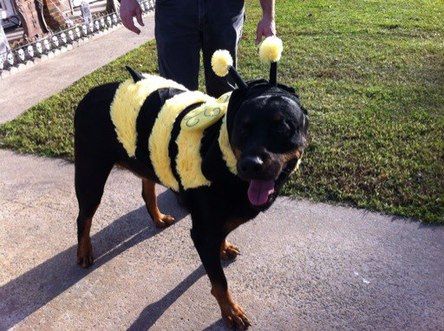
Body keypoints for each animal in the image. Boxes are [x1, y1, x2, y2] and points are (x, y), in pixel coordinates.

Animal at [73, 37, 308, 330]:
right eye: (242, 128)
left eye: (282, 126)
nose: (249, 164)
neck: (223, 156)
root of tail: (90, 94)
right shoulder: (202, 233)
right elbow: (219, 281)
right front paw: (230, 311)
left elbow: (222, 236)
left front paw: (223, 248)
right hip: (90, 174)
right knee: (83, 217)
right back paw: (84, 251)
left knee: (146, 191)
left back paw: (157, 217)